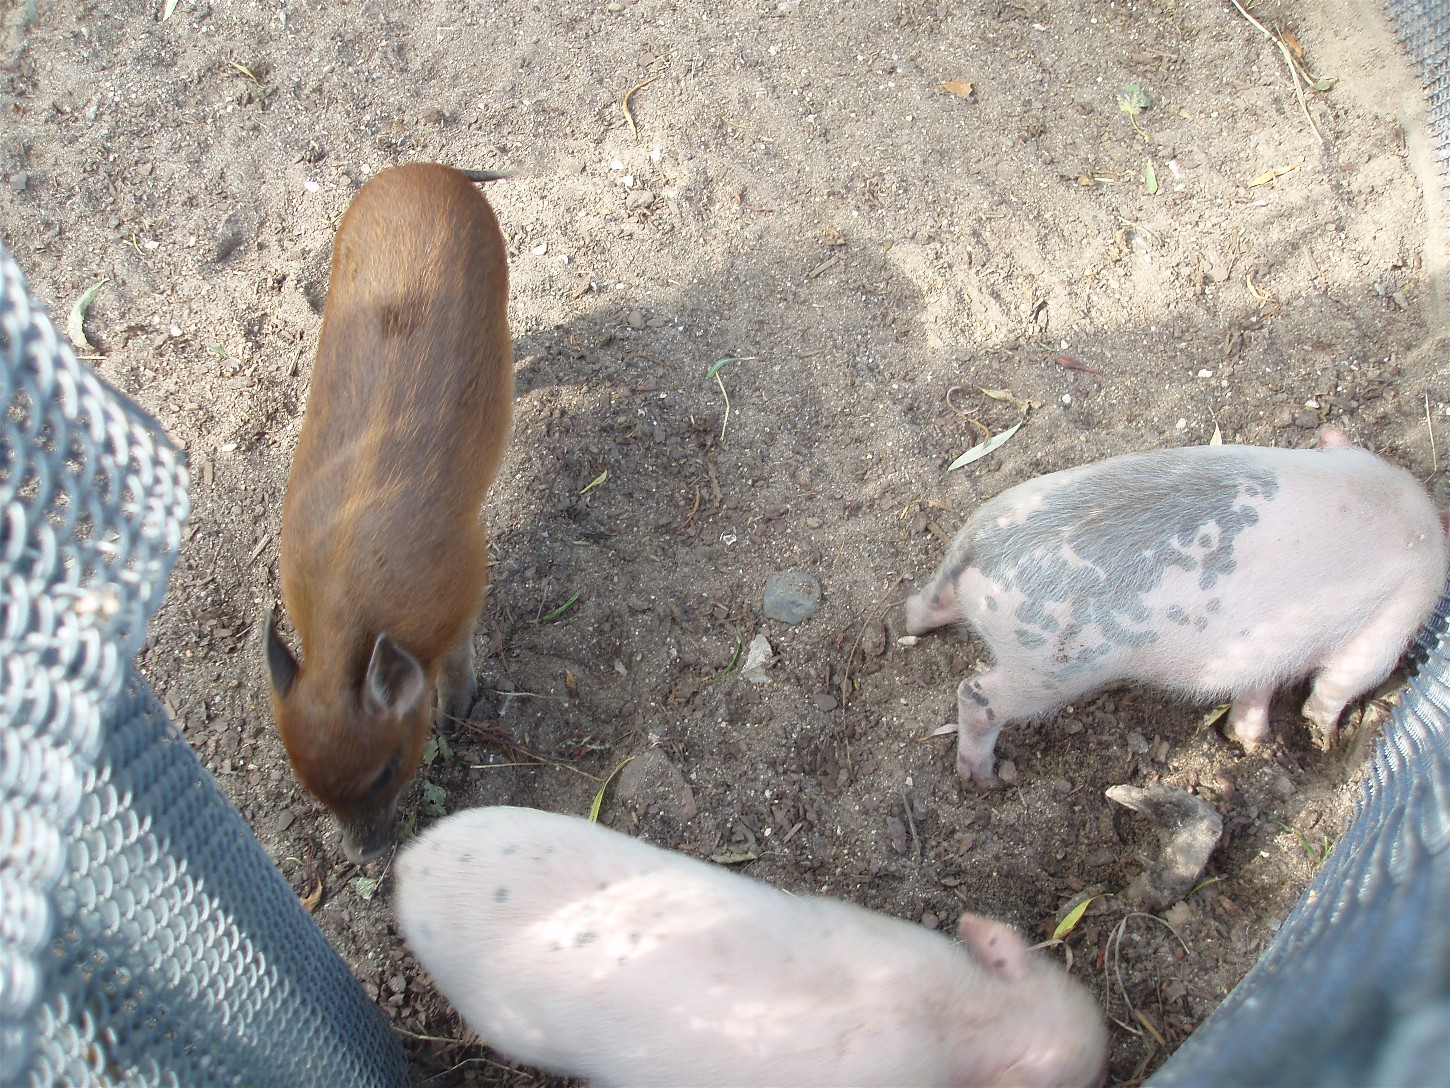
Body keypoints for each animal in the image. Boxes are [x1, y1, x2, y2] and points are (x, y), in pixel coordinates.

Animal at [263, 163, 512, 863]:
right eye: (307, 784)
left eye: (382, 771)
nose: (363, 857)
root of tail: (432, 170)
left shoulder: (469, 580)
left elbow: (459, 661)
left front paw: (460, 715)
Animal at [906, 426, 1450, 786]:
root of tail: (981, 542)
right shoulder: (1395, 617)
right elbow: (1338, 684)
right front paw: (1322, 737)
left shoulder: (1268, 652)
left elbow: (1258, 689)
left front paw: (1249, 740)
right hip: (1051, 666)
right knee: (975, 694)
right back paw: (983, 780)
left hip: (966, 593)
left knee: (921, 605)